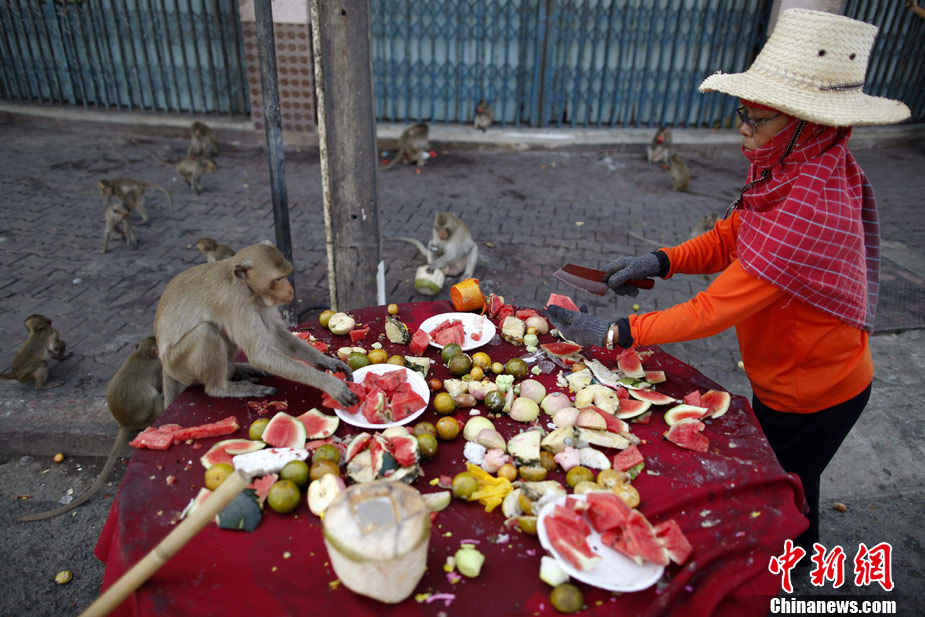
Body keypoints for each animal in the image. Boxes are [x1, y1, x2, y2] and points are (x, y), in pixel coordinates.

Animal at [19, 337, 163, 522]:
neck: (141, 354)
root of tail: (125, 423)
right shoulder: (156, 366)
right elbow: (159, 387)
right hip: (145, 417)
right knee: (156, 398)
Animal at [153, 243, 360, 410]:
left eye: (286, 275)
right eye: (278, 279)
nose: (290, 290)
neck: (247, 287)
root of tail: (164, 365)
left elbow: (276, 335)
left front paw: (328, 362)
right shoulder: (236, 302)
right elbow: (261, 355)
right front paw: (330, 384)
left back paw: (236, 369)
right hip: (178, 365)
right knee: (207, 331)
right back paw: (221, 387)